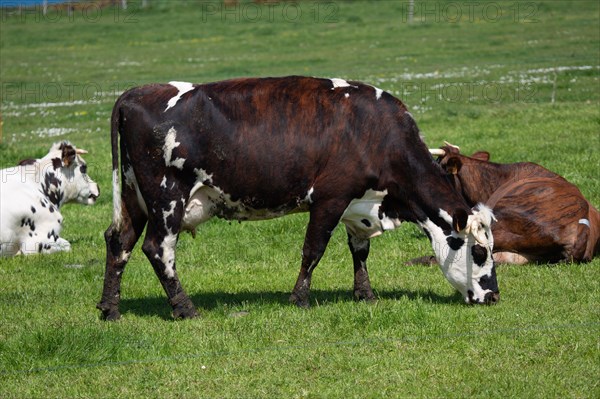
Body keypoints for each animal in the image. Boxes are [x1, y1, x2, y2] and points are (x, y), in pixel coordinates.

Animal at [98, 76, 500, 322]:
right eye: (480, 252)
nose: (494, 297)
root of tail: (135, 94)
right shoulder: (331, 197)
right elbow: (314, 249)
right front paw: (300, 298)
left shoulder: (359, 205)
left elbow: (360, 251)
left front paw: (365, 294)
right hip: (167, 197)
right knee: (158, 249)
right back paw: (185, 308)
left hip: (135, 196)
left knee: (120, 242)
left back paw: (109, 309)